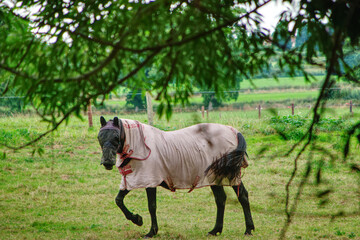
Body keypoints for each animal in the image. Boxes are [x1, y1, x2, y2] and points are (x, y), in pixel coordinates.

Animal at [97, 116, 255, 238]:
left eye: (116, 137)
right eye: (99, 137)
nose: (107, 162)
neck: (140, 144)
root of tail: (233, 131)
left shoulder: (150, 180)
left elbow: (151, 206)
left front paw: (151, 232)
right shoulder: (133, 179)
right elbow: (118, 200)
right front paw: (137, 219)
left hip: (229, 175)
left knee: (242, 196)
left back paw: (248, 229)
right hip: (214, 177)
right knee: (221, 199)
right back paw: (216, 230)